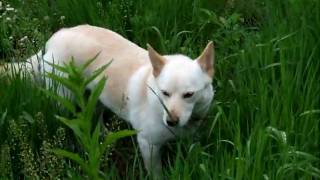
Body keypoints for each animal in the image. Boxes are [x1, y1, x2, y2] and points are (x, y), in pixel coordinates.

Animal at [8, 24, 215, 176]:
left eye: (189, 95)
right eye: (165, 93)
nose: (171, 121)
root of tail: (57, 35)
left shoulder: (190, 140)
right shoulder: (148, 145)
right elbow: (156, 173)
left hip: (98, 96)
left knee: (97, 118)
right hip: (63, 99)